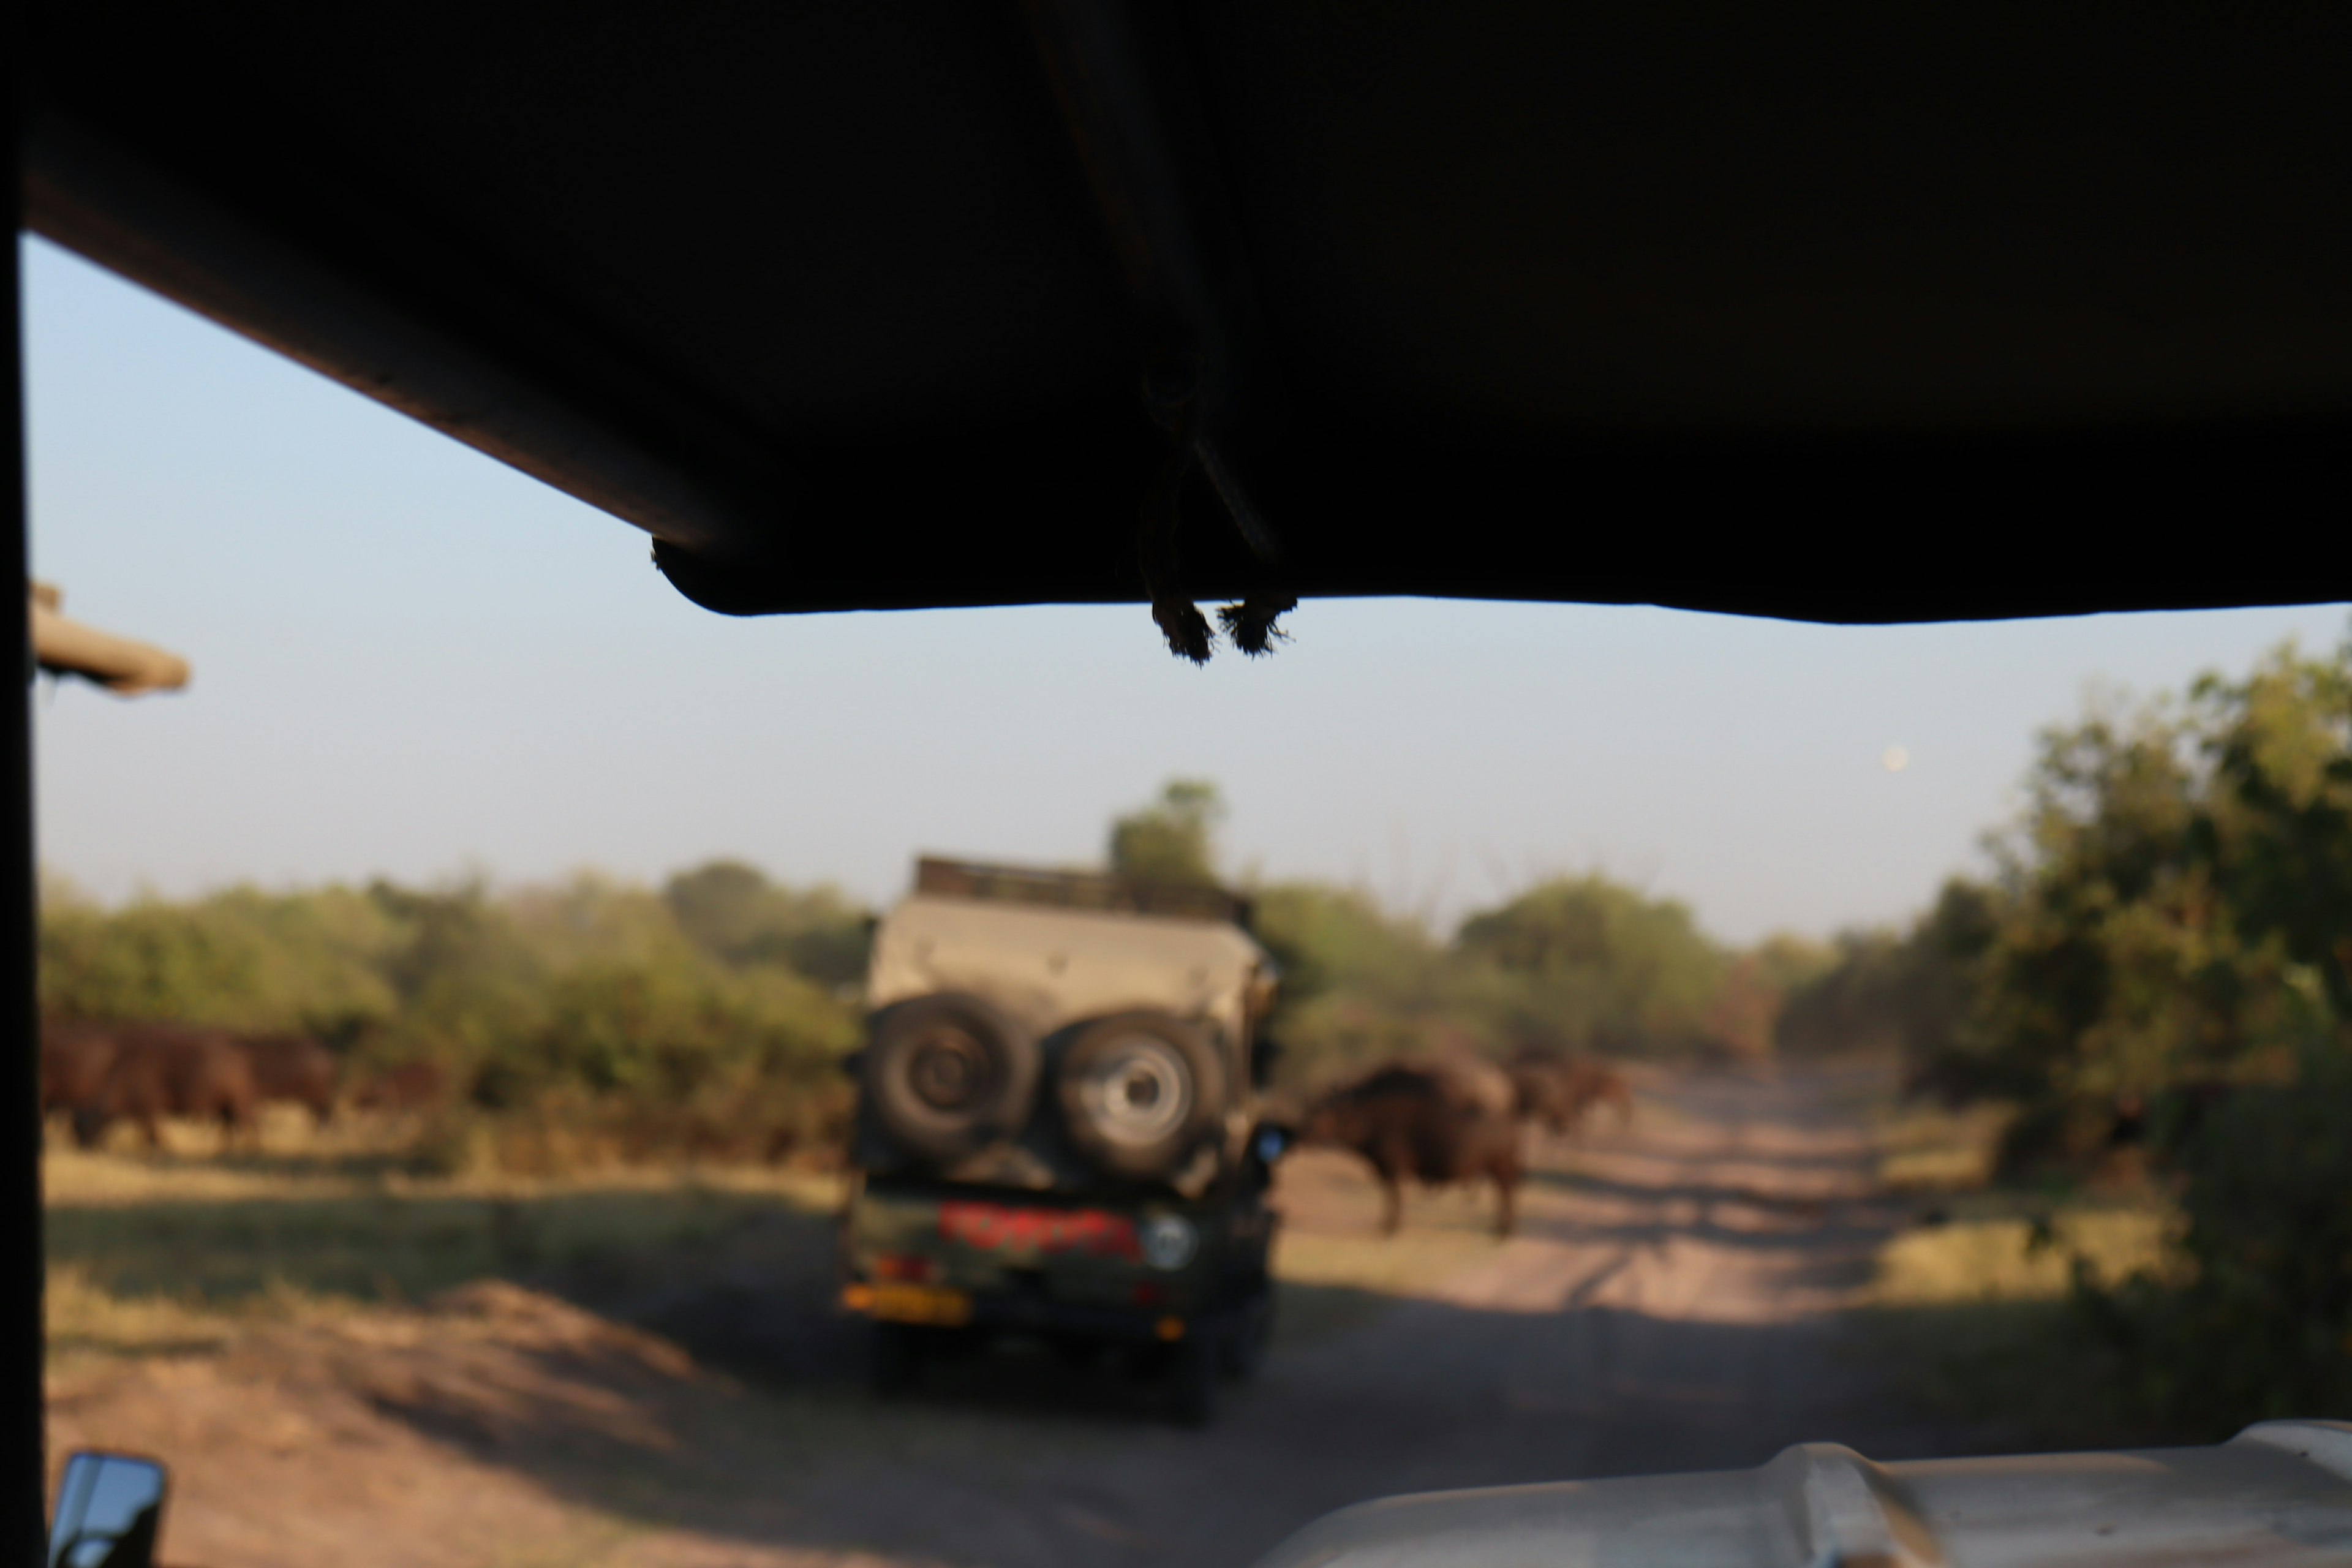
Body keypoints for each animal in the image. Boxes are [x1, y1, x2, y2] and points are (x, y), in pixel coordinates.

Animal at [1308, 1062, 1524, 1241]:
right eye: (1315, 1107)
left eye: (1323, 1114)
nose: (1304, 1132)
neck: (1371, 1114)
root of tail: (1509, 1118)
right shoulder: (1387, 1169)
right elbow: (1391, 1197)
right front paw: (1387, 1225)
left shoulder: (1393, 1168)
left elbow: (1394, 1197)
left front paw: (1391, 1228)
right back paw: (1501, 1228)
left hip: (1502, 1168)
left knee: (1507, 1194)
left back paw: (1505, 1231)